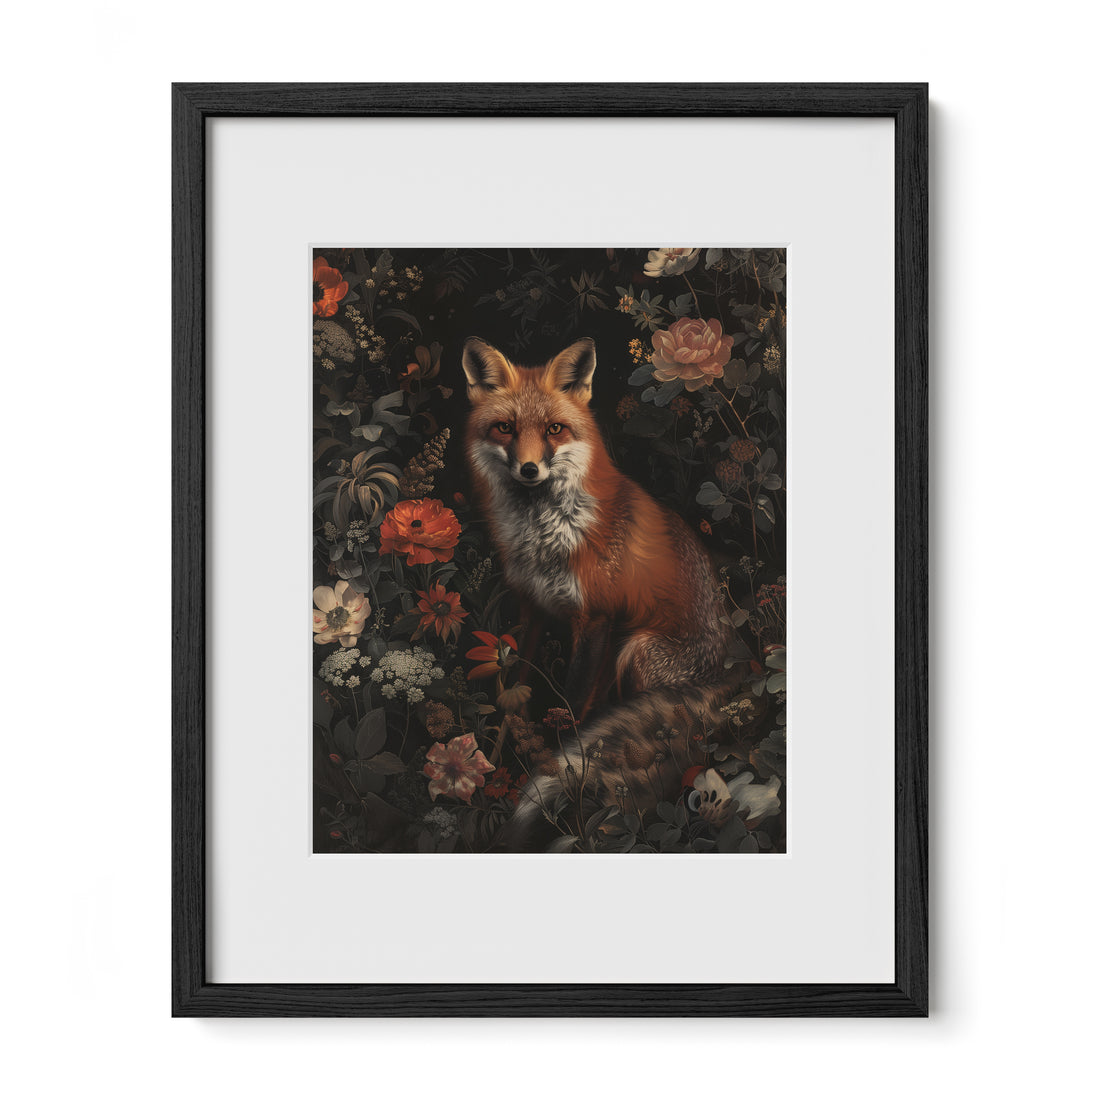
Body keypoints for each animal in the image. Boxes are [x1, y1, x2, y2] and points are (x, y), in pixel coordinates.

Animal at [461, 336, 745, 850]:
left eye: (554, 429)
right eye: (504, 428)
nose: (529, 469)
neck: (547, 535)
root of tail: (738, 663)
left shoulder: (595, 618)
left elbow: (572, 710)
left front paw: (551, 769)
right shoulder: (532, 609)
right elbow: (515, 693)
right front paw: (494, 759)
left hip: (638, 650)